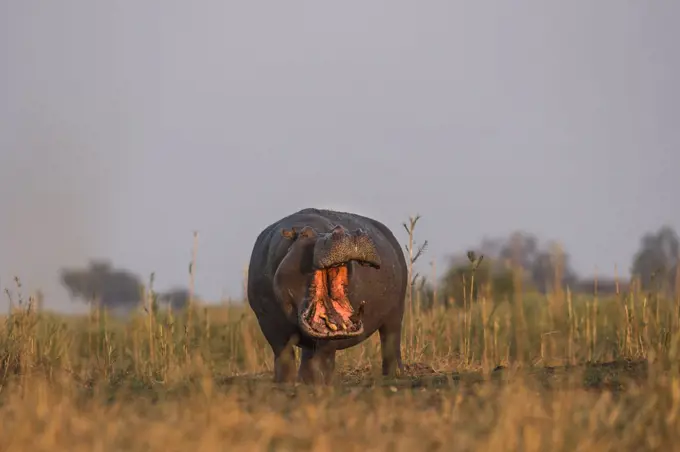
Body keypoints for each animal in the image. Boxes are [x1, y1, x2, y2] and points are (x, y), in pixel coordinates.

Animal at [250, 208, 410, 384]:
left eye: (334, 227)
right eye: (305, 234)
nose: (347, 233)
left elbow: (323, 357)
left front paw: (318, 382)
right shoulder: (268, 321)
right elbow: (283, 354)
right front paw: (286, 382)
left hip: (396, 313)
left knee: (391, 342)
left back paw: (394, 376)